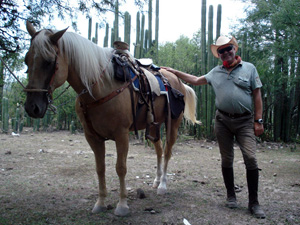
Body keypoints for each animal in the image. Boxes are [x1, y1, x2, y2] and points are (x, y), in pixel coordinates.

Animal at [23, 21, 199, 216]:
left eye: (48, 61)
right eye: (26, 60)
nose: (32, 106)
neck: (100, 87)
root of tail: (177, 80)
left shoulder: (121, 134)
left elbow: (120, 168)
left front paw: (122, 206)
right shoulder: (92, 137)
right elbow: (100, 168)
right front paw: (100, 203)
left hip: (172, 124)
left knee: (167, 151)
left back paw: (162, 185)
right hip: (154, 125)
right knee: (159, 150)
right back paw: (156, 180)